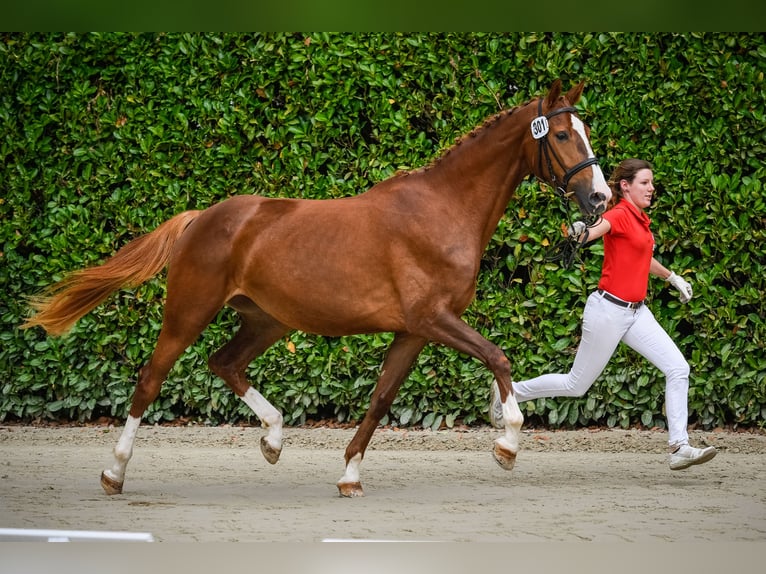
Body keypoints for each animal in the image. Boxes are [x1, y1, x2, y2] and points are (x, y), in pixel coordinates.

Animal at [22, 79, 612, 498]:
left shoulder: (413, 331)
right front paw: (507, 442)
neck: (441, 210)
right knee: (150, 380)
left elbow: (380, 398)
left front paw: (349, 475)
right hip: (189, 311)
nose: (601, 197)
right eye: (562, 135)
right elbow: (498, 357)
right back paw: (114, 474)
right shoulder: (434, 319)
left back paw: (273, 439)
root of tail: (200, 219)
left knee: (225, 363)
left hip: (265, 319)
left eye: (584, 131)